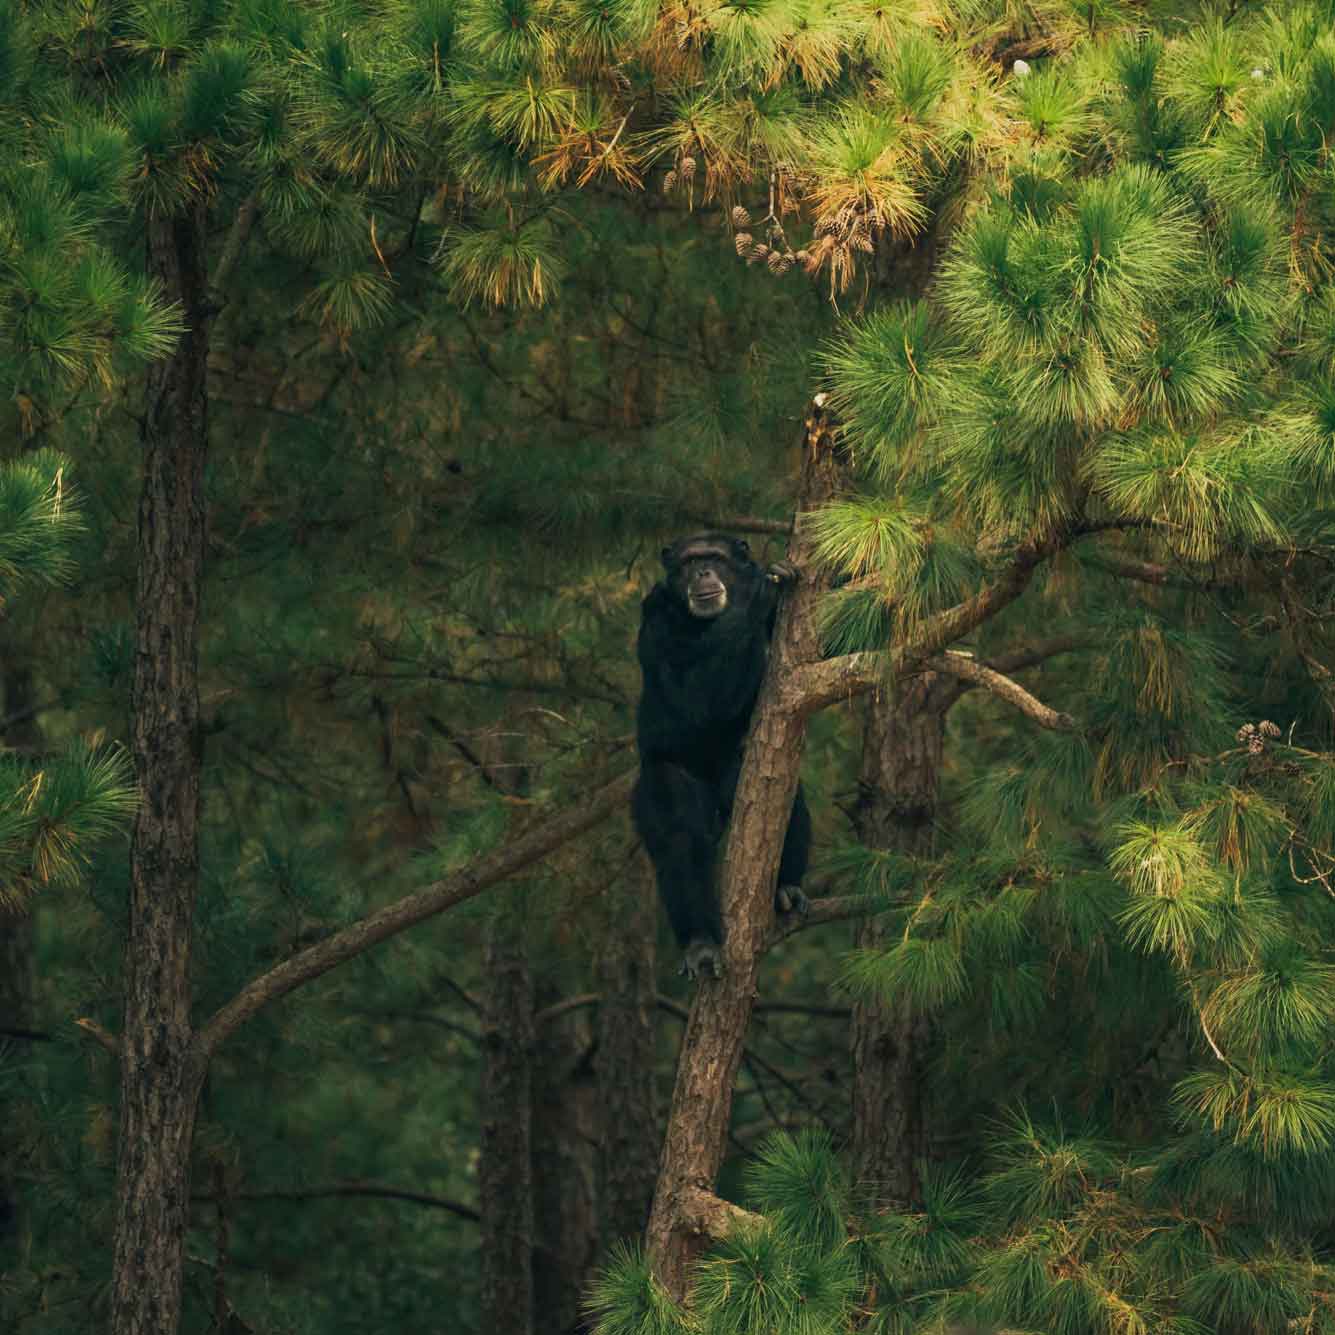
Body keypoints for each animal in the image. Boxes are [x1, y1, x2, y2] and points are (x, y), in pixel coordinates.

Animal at [630, 531, 806, 982]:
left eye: (714, 557)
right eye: (691, 561)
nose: (703, 572)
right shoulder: (656, 617)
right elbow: (690, 699)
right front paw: (758, 594)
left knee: (782, 794)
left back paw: (786, 888)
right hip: (664, 780)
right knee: (680, 832)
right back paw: (701, 943)